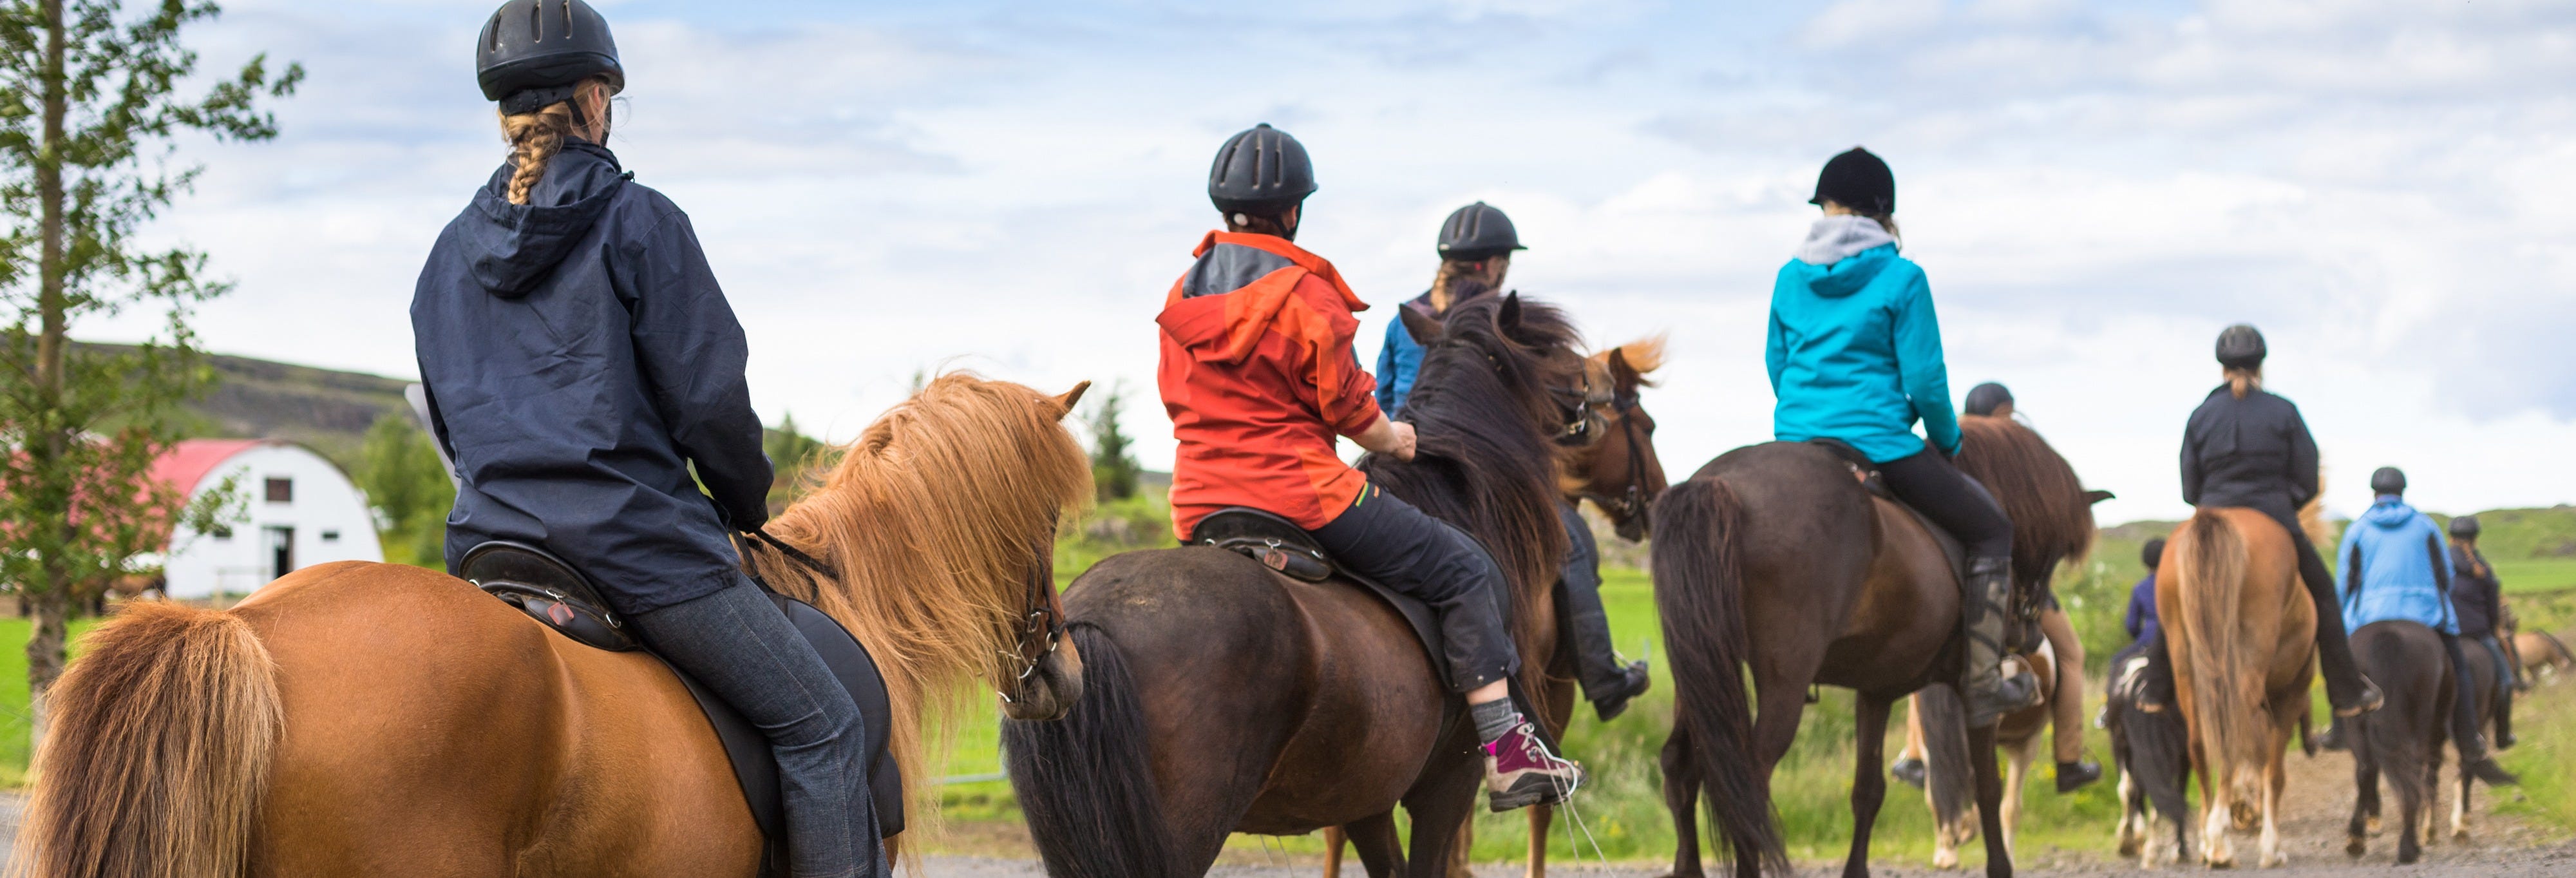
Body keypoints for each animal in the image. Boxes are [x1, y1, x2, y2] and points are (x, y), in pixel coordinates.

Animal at [1638, 417, 2102, 875]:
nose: (2030, 634)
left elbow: (1868, 790)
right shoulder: (1974, 692)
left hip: (1700, 671)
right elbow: (1988, 784)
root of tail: (1722, 484)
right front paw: (2000, 865)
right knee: (1745, 785)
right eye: (2057, 551)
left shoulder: (1876, 691)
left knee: (1681, 768)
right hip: (1782, 683)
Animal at [2154, 502, 2318, 865]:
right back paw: (2219, 839)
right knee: (2231, 731)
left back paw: (2209, 838)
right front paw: (2272, 847)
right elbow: (2273, 771)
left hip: (2186, 663)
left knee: (2201, 740)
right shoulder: (2290, 697)